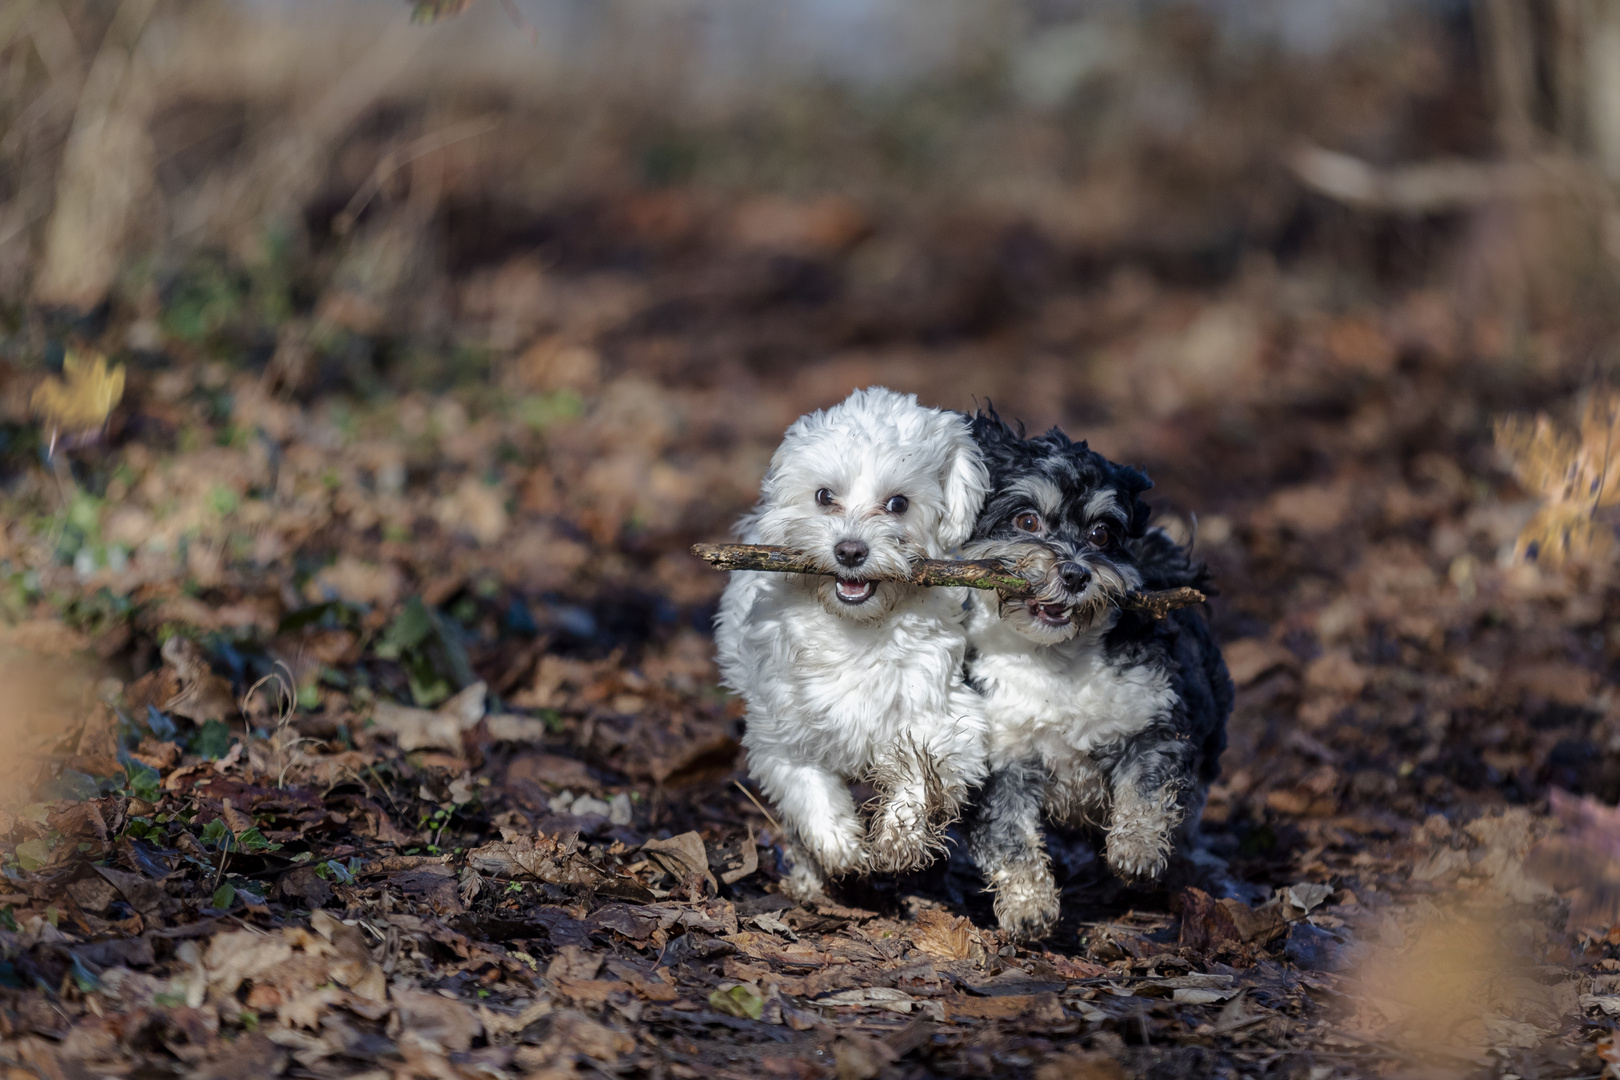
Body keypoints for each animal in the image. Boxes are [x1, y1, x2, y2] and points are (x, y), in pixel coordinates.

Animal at [719, 388, 991, 906]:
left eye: (898, 503)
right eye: (825, 495)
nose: (849, 551)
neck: (857, 629)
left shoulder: (943, 715)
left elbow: (922, 770)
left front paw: (900, 835)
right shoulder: (783, 735)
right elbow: (809, 790)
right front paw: (840, 847)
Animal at [959, 414, 1224, 939]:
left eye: (1103, 534)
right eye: (1027, 521)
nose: (1077, 574)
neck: (1055, 661)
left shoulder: (1156, 721)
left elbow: (1147, 786)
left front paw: (1136, 849)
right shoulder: (1001, 761)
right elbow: (1008, 836)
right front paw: (1028, 906)